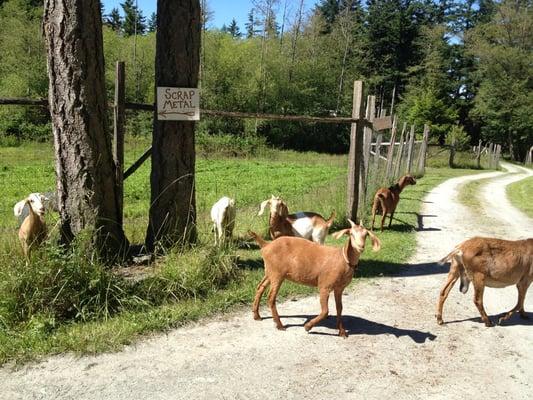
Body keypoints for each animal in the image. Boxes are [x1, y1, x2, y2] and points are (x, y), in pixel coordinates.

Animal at [249, 219, 378, 338]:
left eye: (366, 234)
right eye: (351, 233)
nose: (360, 247)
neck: (342, 259)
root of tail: (266, 245)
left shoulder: (339, 288)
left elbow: (339, 308)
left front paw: (342, 332)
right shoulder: (325, 285)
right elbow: (325, 311)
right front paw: (308, 326)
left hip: (270, 272)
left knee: (260, 288)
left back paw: (256, 316)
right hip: (277, 274)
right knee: (271, 297)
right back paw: (279, 325)